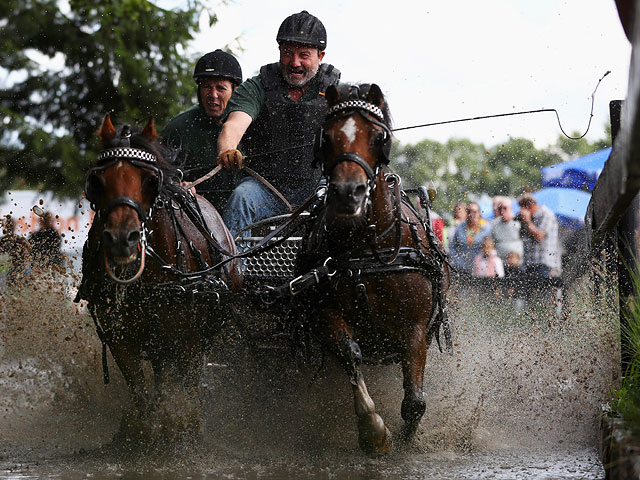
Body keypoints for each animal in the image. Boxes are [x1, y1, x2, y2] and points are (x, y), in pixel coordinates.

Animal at [77, 115, 241, 446]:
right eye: (96, 182)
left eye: (151, 181)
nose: (122, 238)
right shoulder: (120, 339)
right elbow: (141, 395)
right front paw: (141, 433)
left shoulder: (189, 341)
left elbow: (186, 393)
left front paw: (183, 433)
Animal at [298, 83, 452, 458]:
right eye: (327, 136)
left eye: (378, 136)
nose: (347, 192)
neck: (367, 250)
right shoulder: (325, 312)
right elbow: (351, 354)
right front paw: (374, 432)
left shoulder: (415, 327)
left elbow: (415, 402)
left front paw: (407, 439)